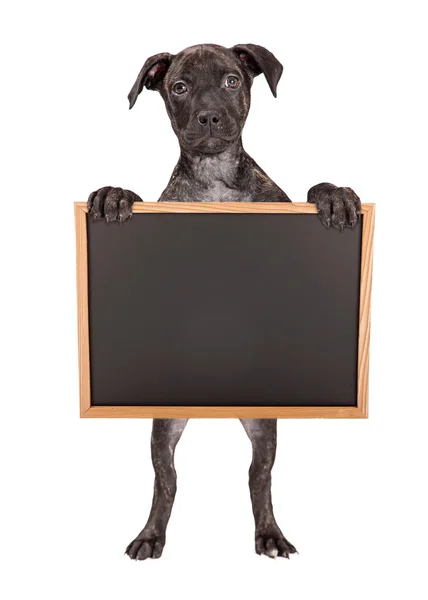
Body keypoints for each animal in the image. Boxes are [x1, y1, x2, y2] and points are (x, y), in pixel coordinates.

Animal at [87, 43, 362, 564]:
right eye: (178, 87)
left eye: (233, 80)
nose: (210, 116)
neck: (215, 178)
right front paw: (115, 195)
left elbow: (314, 191)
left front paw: (335, 195)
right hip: (163, 426)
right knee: (166, 479)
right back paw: (151, 535)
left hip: (265, 424)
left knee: (259, 476)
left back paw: (269, 534)